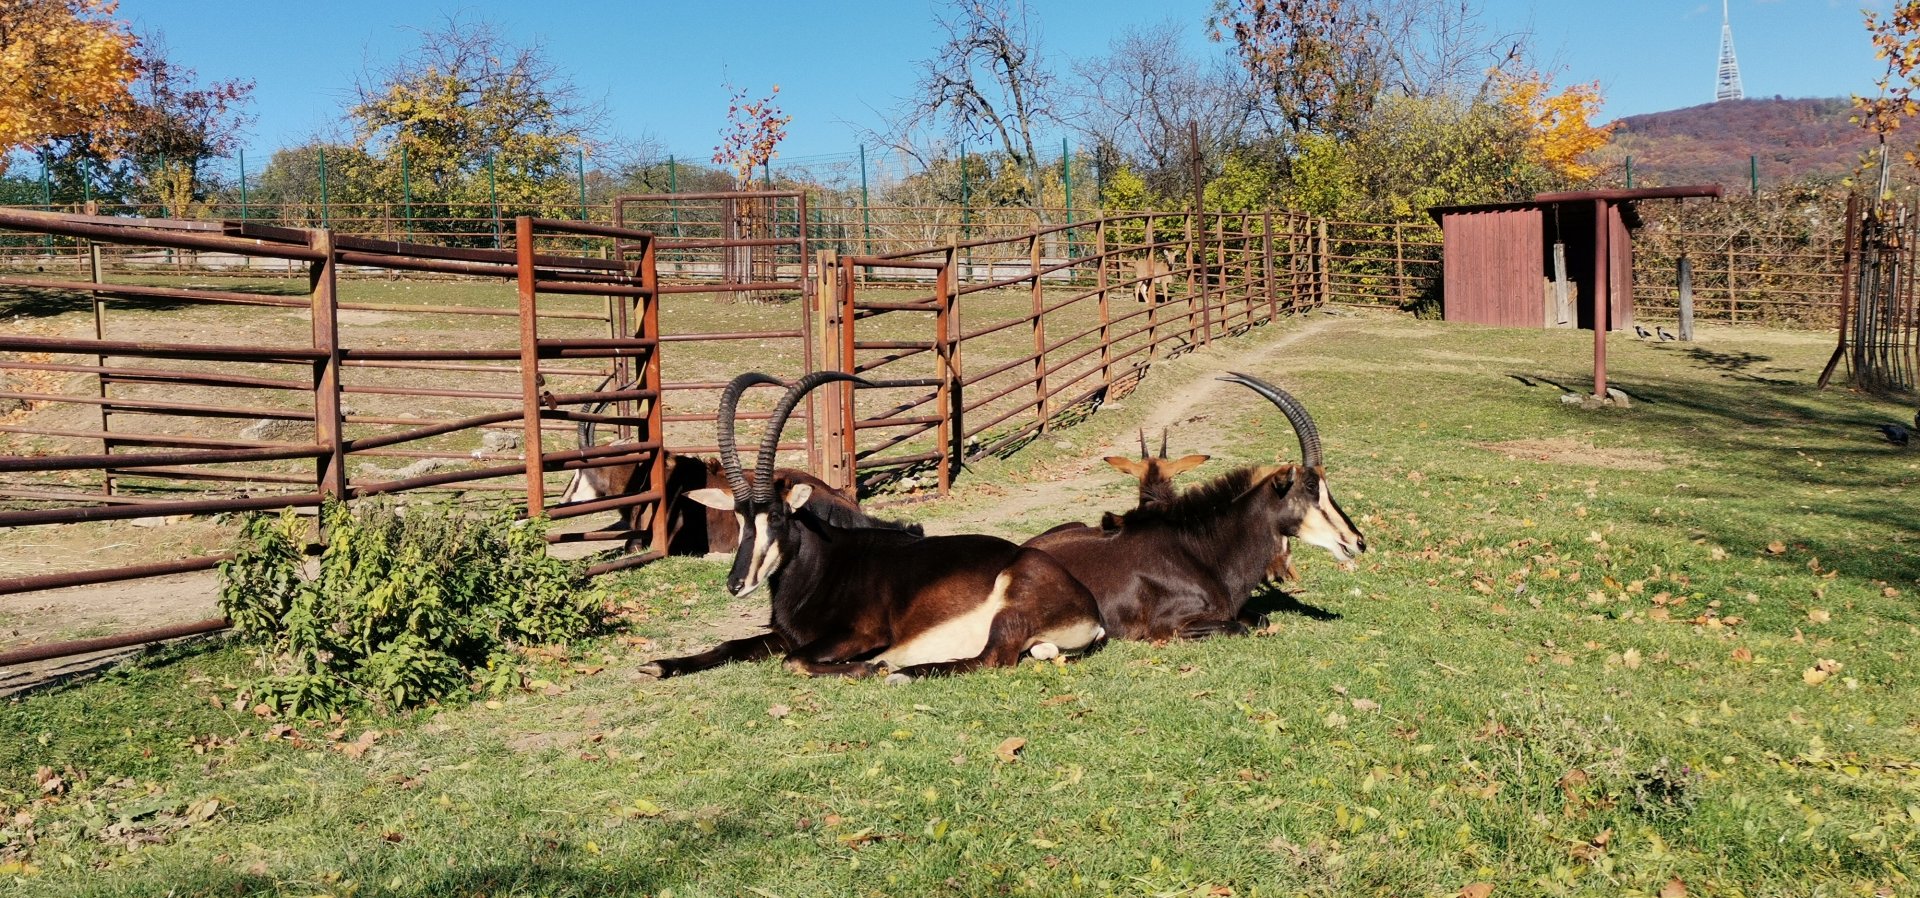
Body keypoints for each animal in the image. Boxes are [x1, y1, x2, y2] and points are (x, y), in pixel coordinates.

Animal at [640, 371, 1107, 682]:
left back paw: (902, 670)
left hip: (1011, 608)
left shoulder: (860, 633)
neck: (823, 564)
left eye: (775, 516)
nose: (736, 584)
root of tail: (1091, 612)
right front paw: (660, 665)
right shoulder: (788, 634)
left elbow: (795, 661)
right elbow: (731, 645)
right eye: (739, 518)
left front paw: (866, 666)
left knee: (992, 658)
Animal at [1025, 373, 1364, 641]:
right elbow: (1239, 627)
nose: (1357, 541)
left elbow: (1260, 618)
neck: (1201, 553)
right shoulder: (1169, 625)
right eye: (1311, 487)